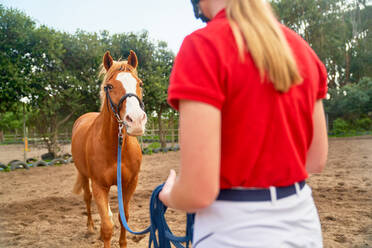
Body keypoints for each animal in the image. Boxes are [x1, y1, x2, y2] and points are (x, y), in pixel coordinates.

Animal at [71, 50, 147, 248]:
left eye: (140, 83)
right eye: (110, 86)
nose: (136, 120)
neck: (115, 147)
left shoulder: (129, 184)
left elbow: (123, 217)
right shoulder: (99, 186)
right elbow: (106, 226)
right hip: (84, 175)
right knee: (87, 199)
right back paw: (90, 228)